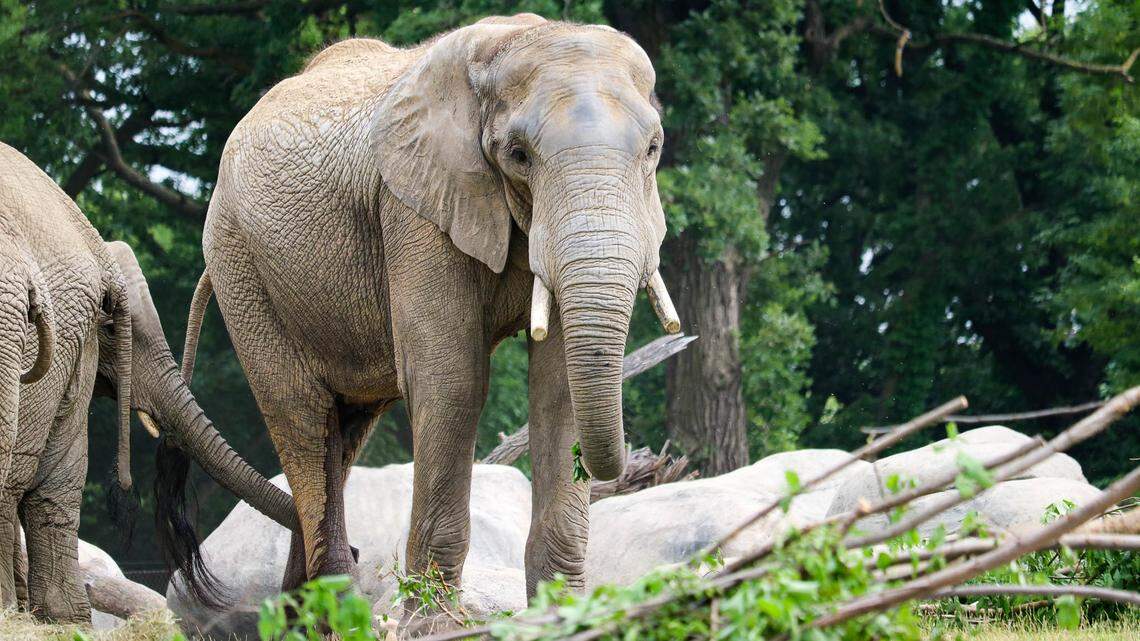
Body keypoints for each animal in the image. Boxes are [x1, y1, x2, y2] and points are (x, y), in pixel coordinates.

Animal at [175, 13, 681, 603]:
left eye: (653, 148)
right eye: (518, 154)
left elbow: (557, 388)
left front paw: (561, 610)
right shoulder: (412, 209)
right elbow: (451, 381)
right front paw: (433, 617)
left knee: (341, 436)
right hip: (241, 267)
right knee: (301, 416)